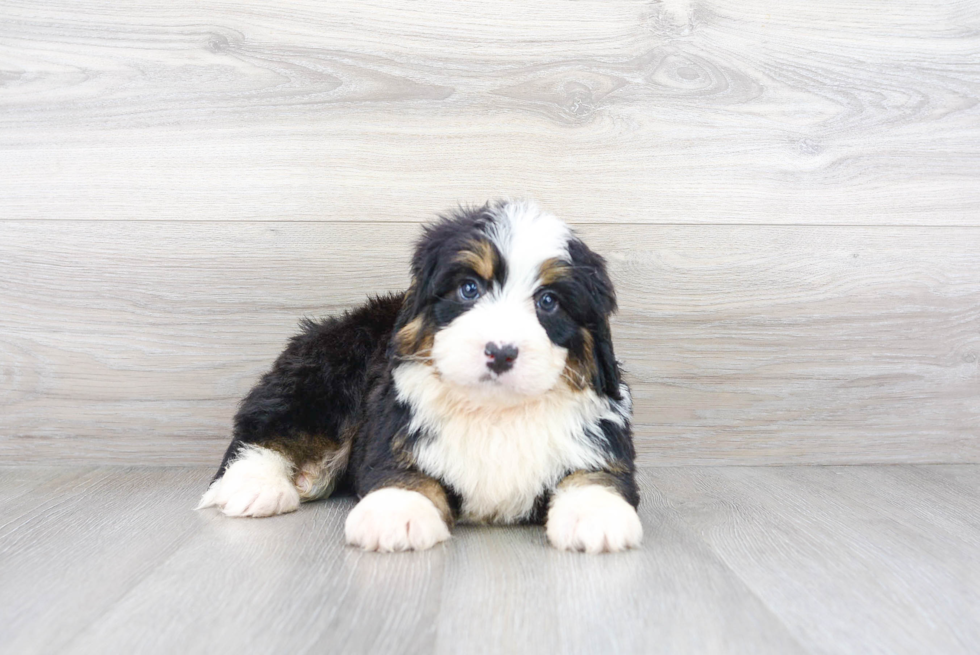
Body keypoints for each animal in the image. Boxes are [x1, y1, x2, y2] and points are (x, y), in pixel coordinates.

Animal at [199, 200, 644, 552]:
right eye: (469, 289)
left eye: (548, 301)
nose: (500, 352)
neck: (495, 412)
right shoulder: (394, 424)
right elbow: (400, 468)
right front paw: (398, 513)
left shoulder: (598, 437)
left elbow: (598, 474)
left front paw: (596, 515)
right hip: (325, 374)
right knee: (269, 429)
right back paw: (257, 487)